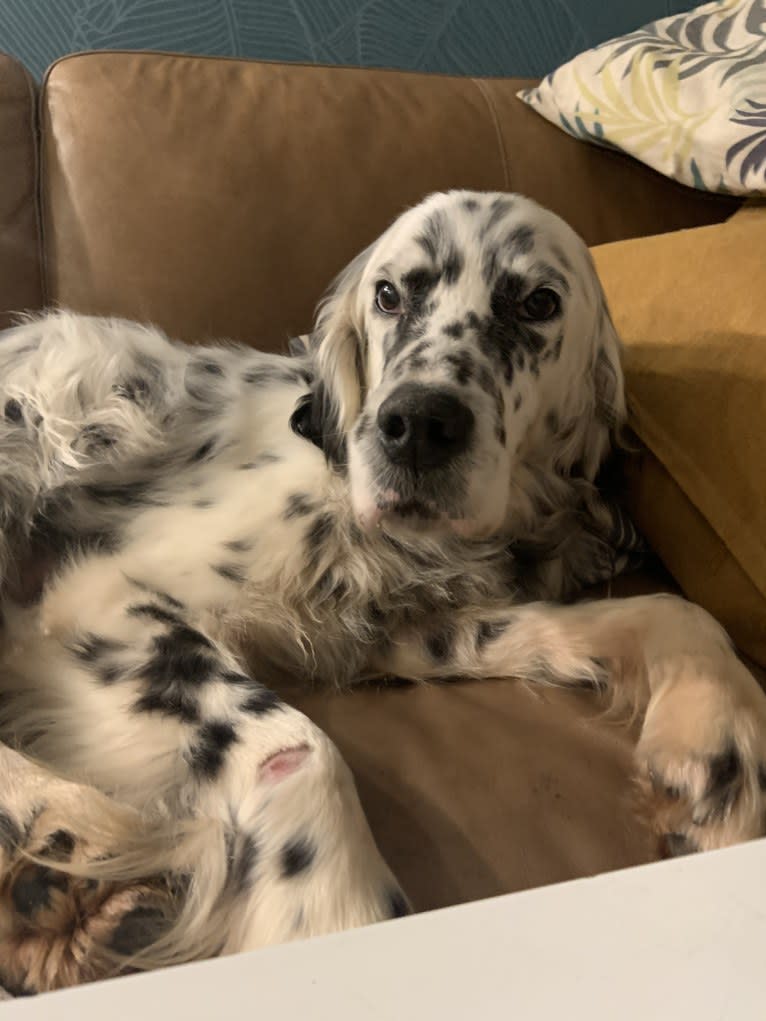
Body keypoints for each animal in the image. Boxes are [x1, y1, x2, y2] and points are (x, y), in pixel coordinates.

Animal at [1, 191, 766, 988]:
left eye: (538, 302)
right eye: (391, 294)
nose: (419, 425)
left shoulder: (393, 627)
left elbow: (670, 611)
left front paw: (715, 744)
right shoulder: (104, 597)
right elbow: (302, 747)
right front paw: (333, 931)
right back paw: (58, 830)